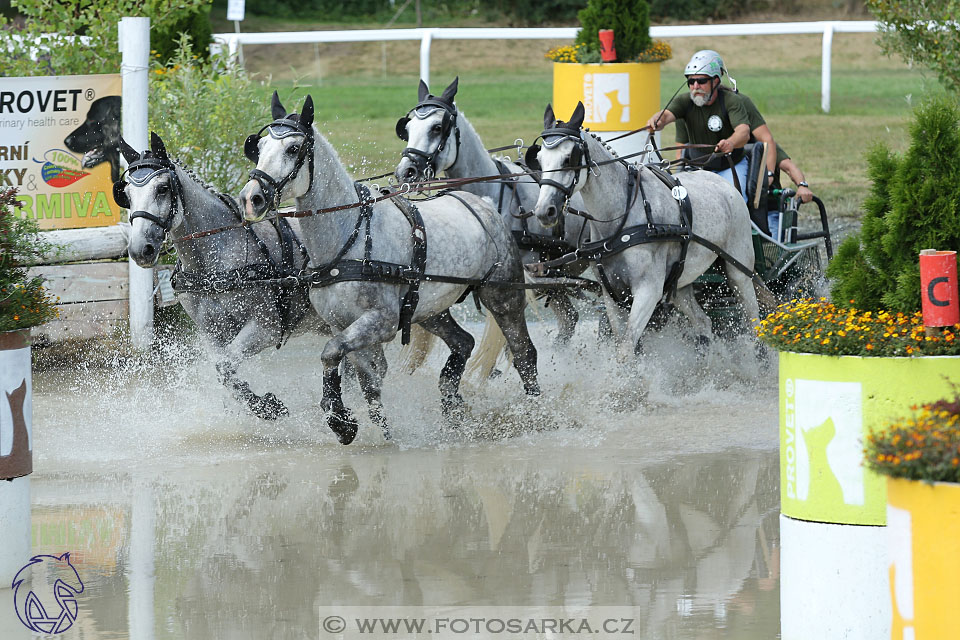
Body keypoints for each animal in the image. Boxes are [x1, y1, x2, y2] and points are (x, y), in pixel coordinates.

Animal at [121, 132, 386, 422]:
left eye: (162, 189)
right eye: (126, 194)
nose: (140, 250)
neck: (217, 258)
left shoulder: (264, 328)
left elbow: (225, 368)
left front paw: (268, 406)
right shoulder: (213, 334)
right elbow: (224, 371)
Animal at [239, 92, 540, 444]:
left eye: (293, 148)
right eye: (259, 148)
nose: (252, 198)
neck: (349, 238)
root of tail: (484, 205)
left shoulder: (380, 322)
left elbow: (331, 353)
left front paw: (339, 418)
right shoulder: (343, 325)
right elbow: (367, 380)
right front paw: (376, 431)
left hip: (503, 297)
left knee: (524, 354)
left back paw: (537, 413)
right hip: (430, 310)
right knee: (463, 342)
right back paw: (452, 407)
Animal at [524, 100, 756, 360]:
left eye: (568, 158)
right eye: (539, 160)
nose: (544, 211)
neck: (621, 221)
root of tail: (725, 183)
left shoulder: (648, 291)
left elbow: (626, 349)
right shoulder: (612, 294)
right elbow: (623, 344)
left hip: (739, 273)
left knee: (755, 325)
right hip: (681, 283)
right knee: (703, 323)